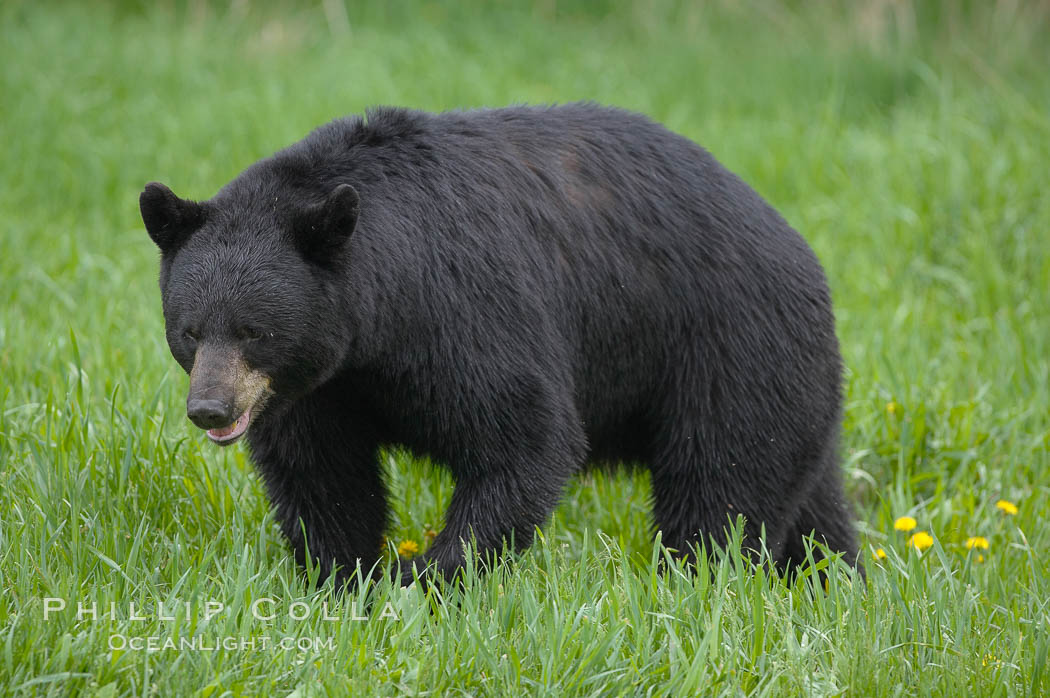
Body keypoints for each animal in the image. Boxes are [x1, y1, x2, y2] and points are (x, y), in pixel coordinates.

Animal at [139, 102, 860, 583]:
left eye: (255, 330)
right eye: (190, 331)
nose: (210, 409)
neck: (376, 321)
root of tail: (804, 254)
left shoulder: (463, 309)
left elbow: (523, 436)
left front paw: (427, 576)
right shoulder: (319, 385)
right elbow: (321, 472)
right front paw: (344, 576)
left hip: (731, 348)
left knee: (723, 485)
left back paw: (695, 580)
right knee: (810, 503)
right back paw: (829, 580)